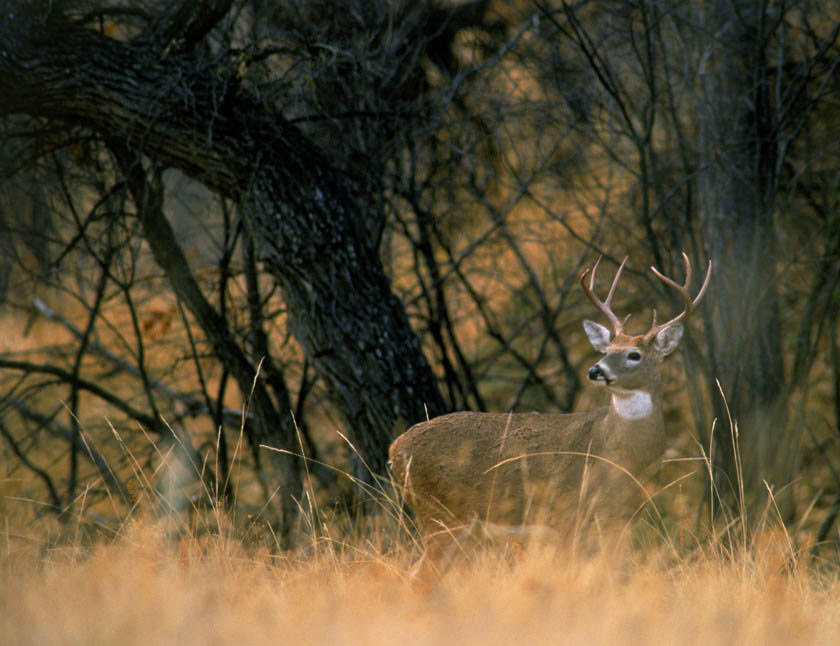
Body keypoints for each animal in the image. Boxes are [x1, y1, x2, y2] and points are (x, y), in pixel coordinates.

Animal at [388, 252, 711, 576]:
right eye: (607, 350)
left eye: (635, 355)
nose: (595, 370)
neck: (619, 455)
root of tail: (394, 449)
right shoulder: (566, 516)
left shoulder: (620, 520)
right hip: (439, 515)